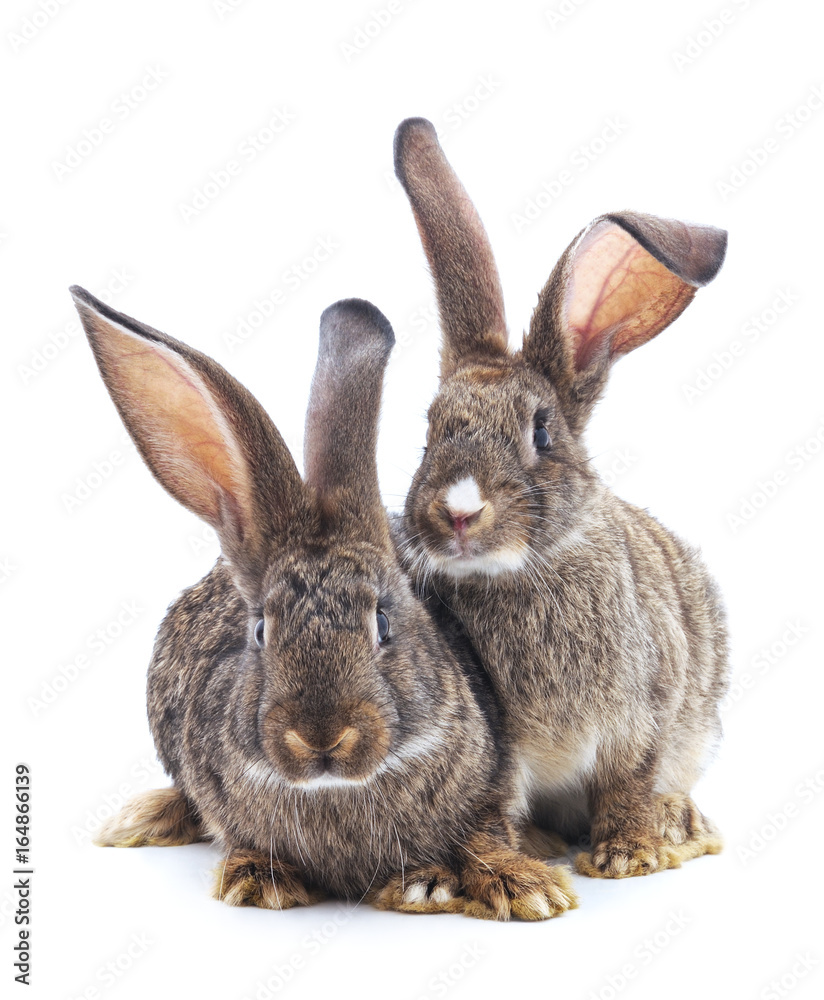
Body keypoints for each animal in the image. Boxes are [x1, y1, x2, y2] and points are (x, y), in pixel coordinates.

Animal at [70, 284, 578, 920]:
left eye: (383, 623)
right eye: (260, 632)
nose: (321, 737)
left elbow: (487, 835)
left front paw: (516, 887)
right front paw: (257, 881)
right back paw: (140, 819)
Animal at [392, 117, 730, 879]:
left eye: (541, 432)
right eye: (428, 432)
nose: (458, 512)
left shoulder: (643, 719)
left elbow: (629, 781)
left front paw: (628, 854)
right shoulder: (502, 748)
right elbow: (493, 801)